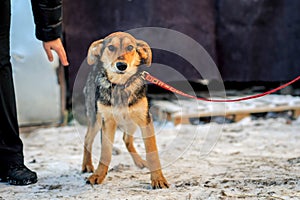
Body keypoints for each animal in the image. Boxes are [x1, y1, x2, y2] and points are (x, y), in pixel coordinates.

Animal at [81, 31, 169, 189]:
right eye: (110, 47)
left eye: (130, 47)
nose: (121, 66)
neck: (121, 86)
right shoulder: (107, 122)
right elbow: (105, 152)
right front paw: (99, 175)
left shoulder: (145, 121)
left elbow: (152, 153)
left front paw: (158, 179)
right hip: (96, 119)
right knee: (87, 139)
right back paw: (87, 165)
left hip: (131, 122)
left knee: (126, 139)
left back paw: (140, 162)